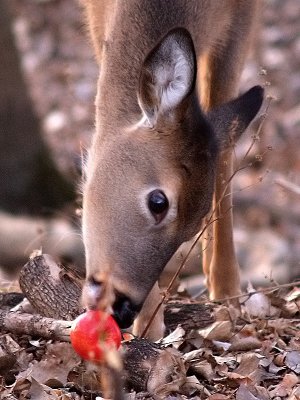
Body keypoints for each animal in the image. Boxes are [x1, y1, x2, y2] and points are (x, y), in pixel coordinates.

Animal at [81, 0, 264, 340]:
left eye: (192, 230)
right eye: (158, 202)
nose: (123, 308)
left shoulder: (244, 14)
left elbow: (225, 144)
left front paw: (227, 292)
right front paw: (150, 325)